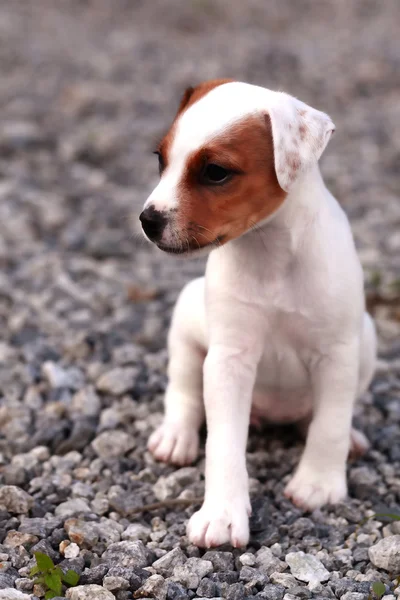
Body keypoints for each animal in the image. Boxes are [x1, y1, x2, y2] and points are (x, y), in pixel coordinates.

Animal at [139, 79, 376, 548]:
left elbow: (330, 425)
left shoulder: (337, 355)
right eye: (161, 158)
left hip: (368, 340)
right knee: (184, 391)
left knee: (317, 418)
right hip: (187, 323)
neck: (272, 252)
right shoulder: (229, 361)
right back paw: (175, 437)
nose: (147, 220)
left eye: (215, 172)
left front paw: (318, 484)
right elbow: (223, 445)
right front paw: (222, 514)